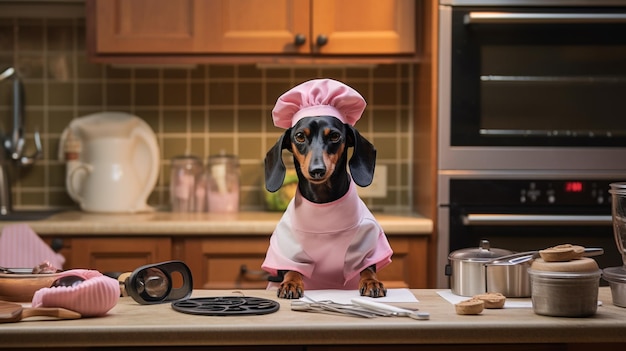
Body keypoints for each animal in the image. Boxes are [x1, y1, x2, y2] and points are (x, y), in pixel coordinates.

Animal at [262, 115, 390, 300]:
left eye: (335, 136)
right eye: (300, 136)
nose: (317, 170)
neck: (323, 204)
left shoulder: (367, 242)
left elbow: (367, 267)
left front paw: (371, 281)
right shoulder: (288, 249)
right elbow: (293, 269)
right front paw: (291, 283)